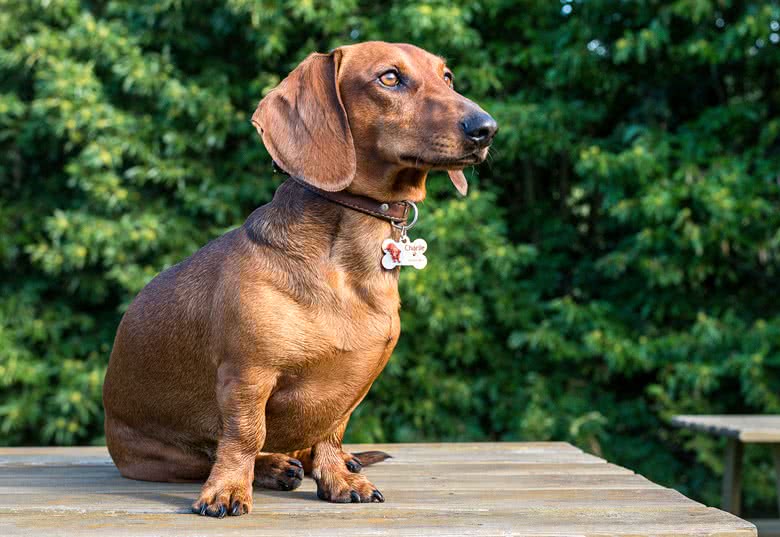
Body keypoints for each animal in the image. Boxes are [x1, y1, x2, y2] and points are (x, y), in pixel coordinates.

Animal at [102, 39, 494, 516]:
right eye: (389, 77)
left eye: (447, 77)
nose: (486, 128)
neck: (346, 266)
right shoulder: (247, 374)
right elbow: (243, 436)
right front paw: (228, 490)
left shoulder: (347, 388)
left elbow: (330, 431)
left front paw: (339, 478)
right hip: (164, 454)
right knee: (215, 453)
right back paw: (272, 467)